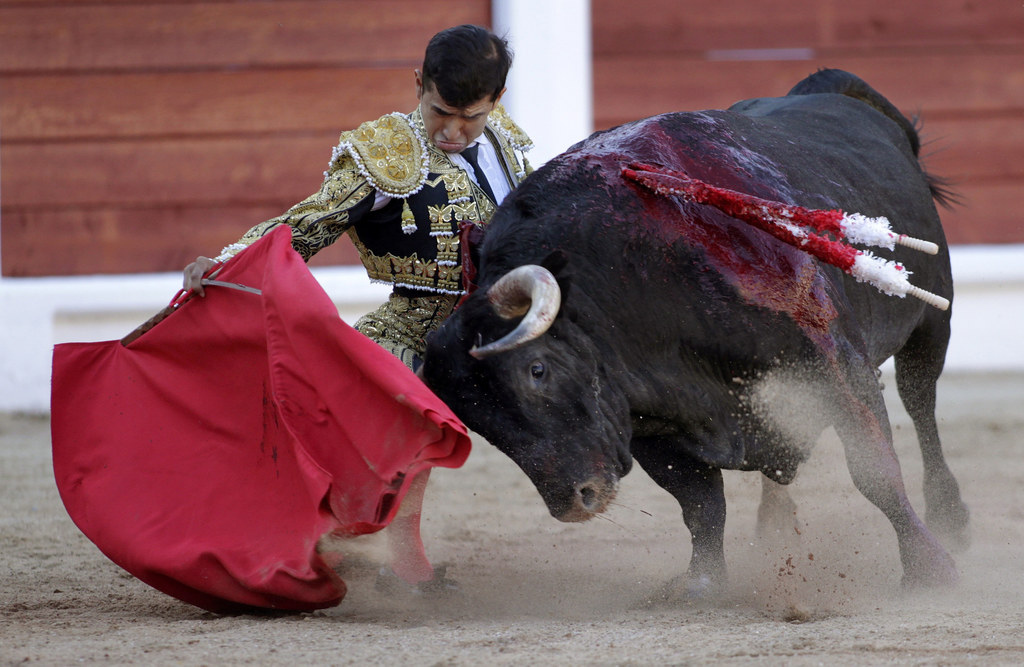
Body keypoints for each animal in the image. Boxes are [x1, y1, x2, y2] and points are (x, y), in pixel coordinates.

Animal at [419, 69, 970, 594]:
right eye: (479, 422)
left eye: (536, 370)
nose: (576, 500)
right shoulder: (647, 419)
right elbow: (701, 504)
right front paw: (702, 582)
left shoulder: (835, 362)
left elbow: (875, 473)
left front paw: (930, 568)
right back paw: (775, 528)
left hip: (931, 323)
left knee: (920, 402)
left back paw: (951, 517)